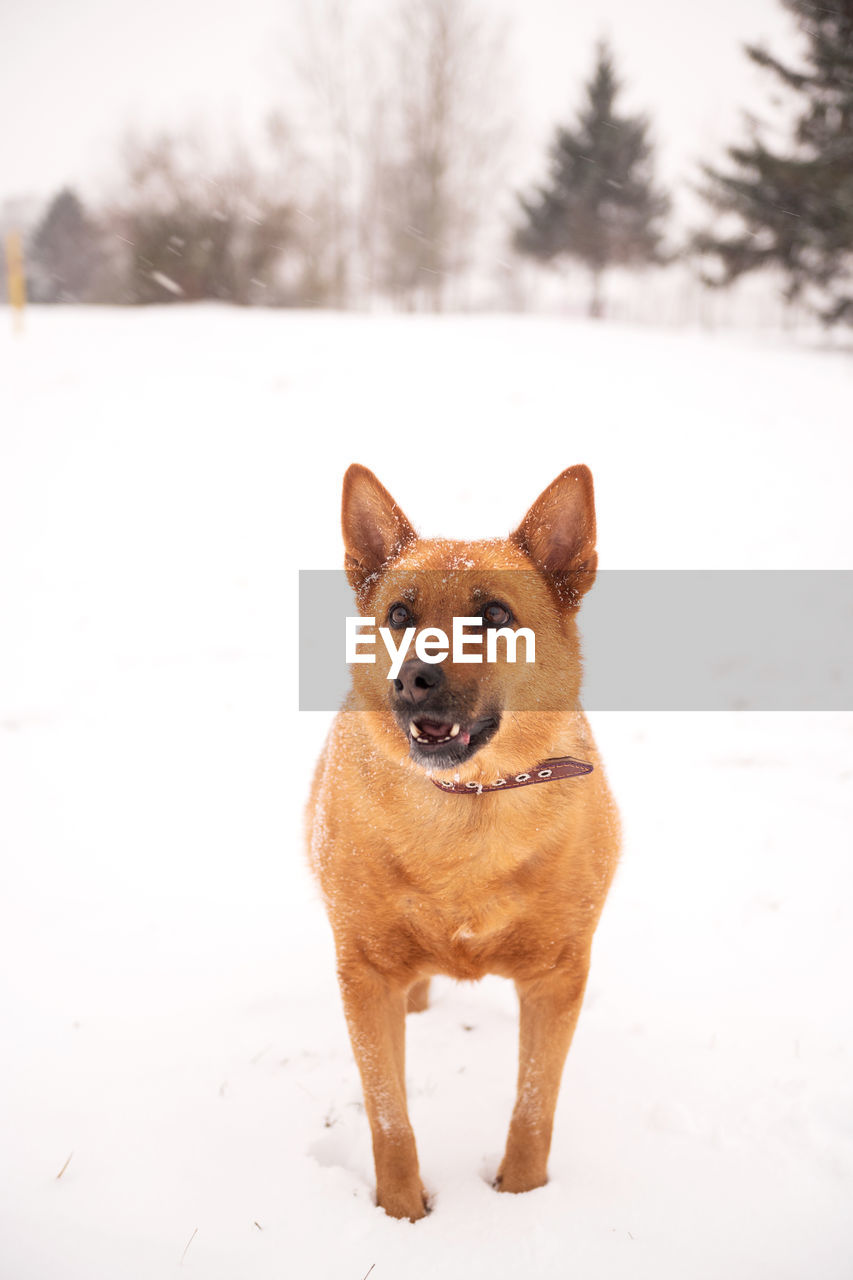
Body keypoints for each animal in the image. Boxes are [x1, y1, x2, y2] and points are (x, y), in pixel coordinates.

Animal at [306, 468, 617, 1218]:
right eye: (398, 614)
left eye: (496, 616)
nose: (412, 678)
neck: (468, 808)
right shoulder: (364, 976)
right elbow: (388, 1114)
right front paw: (400, 1213)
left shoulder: (557, 977)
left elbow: (534, 1108)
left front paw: (522, 1199)